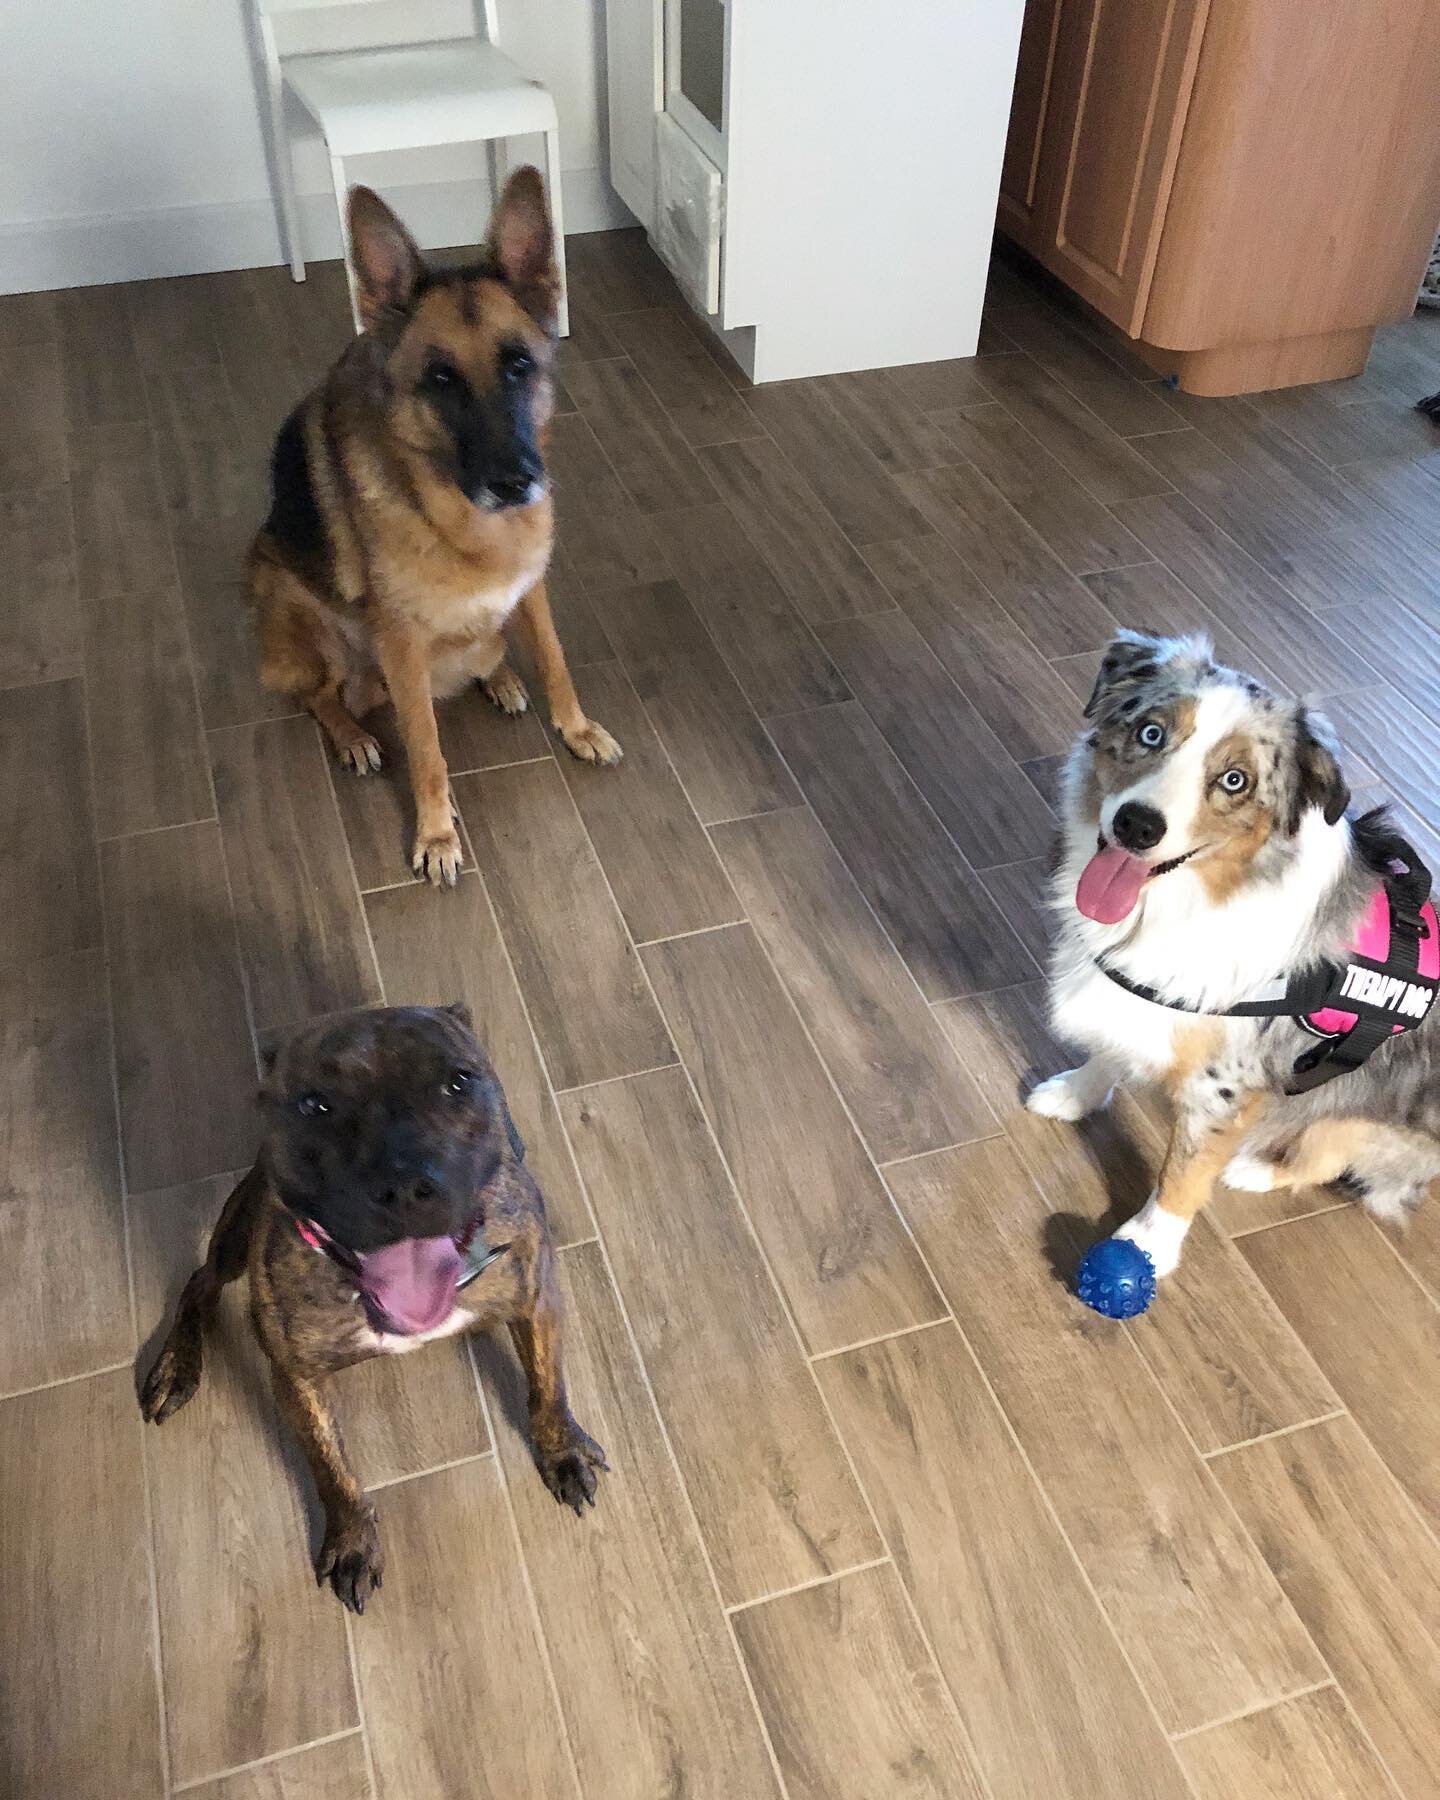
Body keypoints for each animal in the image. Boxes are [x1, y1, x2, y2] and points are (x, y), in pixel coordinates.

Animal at [139, 1008, 601, 1612]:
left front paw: (562, 1449)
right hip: (237, 1232)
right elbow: (329, 1464)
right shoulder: (296, 1376)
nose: (404, 1185)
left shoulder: (535, 1297)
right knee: (199, 1283)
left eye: (458, 1082)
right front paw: (352, 1540)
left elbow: (548, 1386)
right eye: (315, 1104)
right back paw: (176, 1367)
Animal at [248, 169, 619, 885]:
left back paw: (498, 677)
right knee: (320, 695)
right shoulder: (399, 644)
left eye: (519, 366)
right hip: (296, 607)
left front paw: (577, 728)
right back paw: (354, 737)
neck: (470, 527)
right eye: (441, 379)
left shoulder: (531, 589)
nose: (514, 483)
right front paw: (437, 833)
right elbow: (425, 747)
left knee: (483, 650)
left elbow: (555, 659)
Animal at [1029, 630, 1432, 1281]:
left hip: (1354, 1122)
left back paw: (1254, 1168)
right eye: (1151, 732)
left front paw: (1147, 1246)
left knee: (1325, 1158)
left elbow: (1184, 1171)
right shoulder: (1138, 995)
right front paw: (1074, 1094)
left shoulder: (1226, 1085)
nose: (1137, 825)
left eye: (1235, 780)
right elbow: (1110, 1046)